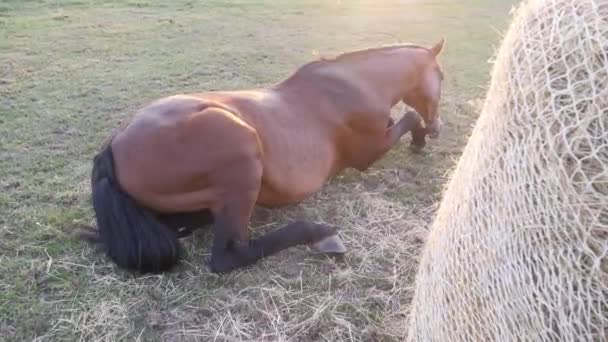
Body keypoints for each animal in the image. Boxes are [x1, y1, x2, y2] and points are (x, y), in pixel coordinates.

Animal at [85, 38, 444, 274]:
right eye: (441, 76)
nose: (438, 128)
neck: (356, 84)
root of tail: (114, 145)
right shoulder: (368, 153)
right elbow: (411, 116)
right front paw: (419, 141)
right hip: (241, 156)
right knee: (230, 256)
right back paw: (320, 234)